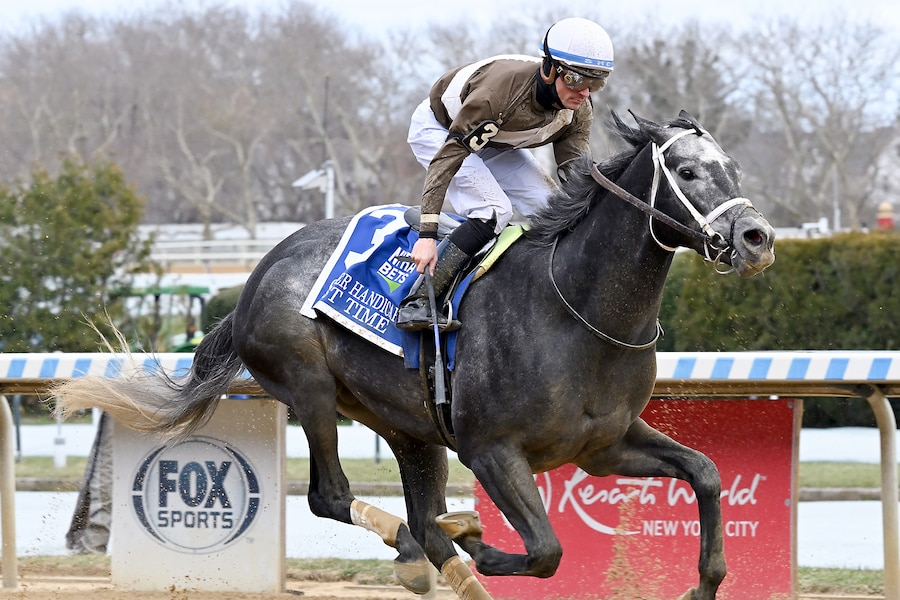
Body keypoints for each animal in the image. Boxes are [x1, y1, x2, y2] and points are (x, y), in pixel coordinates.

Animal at [54, 110, 775, 600]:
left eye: (735, 170)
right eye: (686, 171)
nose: (757, 237)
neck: (576, 310)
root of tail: (258, 275)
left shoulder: (603, 445)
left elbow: (707, 473)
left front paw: (703, 582)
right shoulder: (492, 449)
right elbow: (544, 549)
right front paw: (478, 542)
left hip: (408, 425)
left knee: (417, 512)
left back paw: (435, 558)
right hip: (310, 386)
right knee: (337, 497)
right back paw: (419, 550)